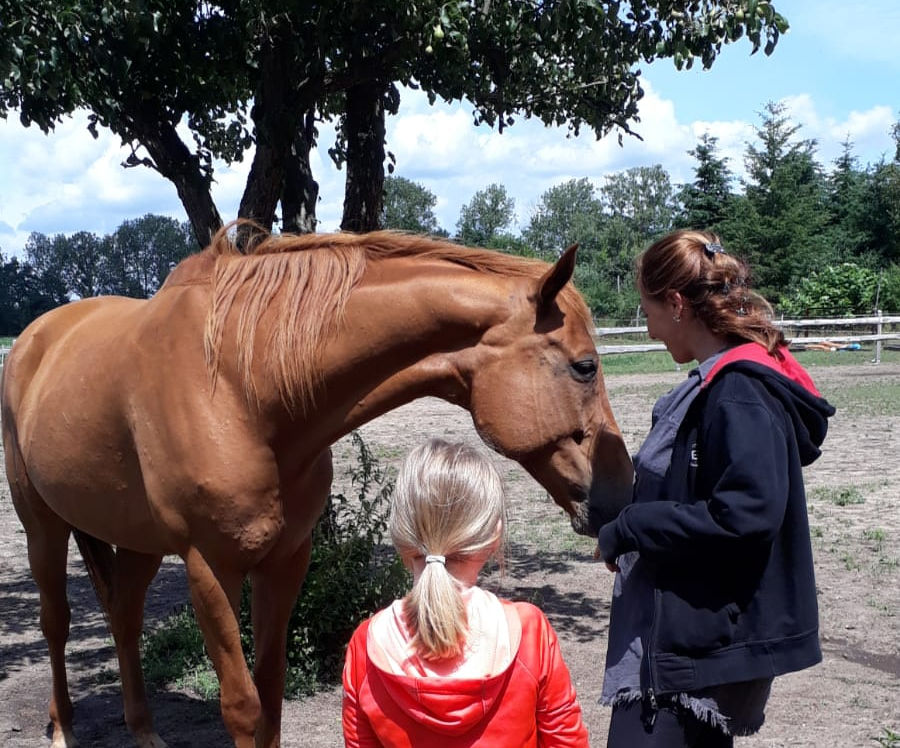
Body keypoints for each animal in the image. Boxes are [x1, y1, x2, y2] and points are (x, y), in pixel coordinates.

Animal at [1, 228, 633, 747]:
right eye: (584, 366)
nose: (621, 491)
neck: (240, 387)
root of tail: (33, 339)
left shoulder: (286, 561)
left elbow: (271, 696)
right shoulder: (209, 568)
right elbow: (242, 706)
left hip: (137, 542)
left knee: (124, 617)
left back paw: (144, 731)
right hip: (43, 528)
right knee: (56, 622)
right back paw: (61, 729)